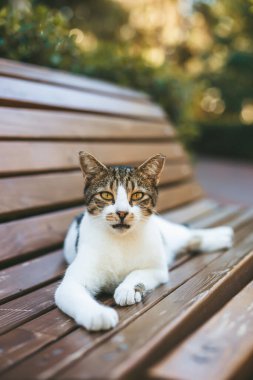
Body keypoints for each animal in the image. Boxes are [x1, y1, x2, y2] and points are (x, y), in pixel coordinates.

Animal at [54, 151, 233, 330]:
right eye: (106, 195)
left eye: (137, 195)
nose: (122, 212)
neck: (121, 241)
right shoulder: (70, 283)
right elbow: (72, 292)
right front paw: (98, 314)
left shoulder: (157, 268)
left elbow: (137, 273)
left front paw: (127, 289)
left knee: (187, 233)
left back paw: (221, 234)